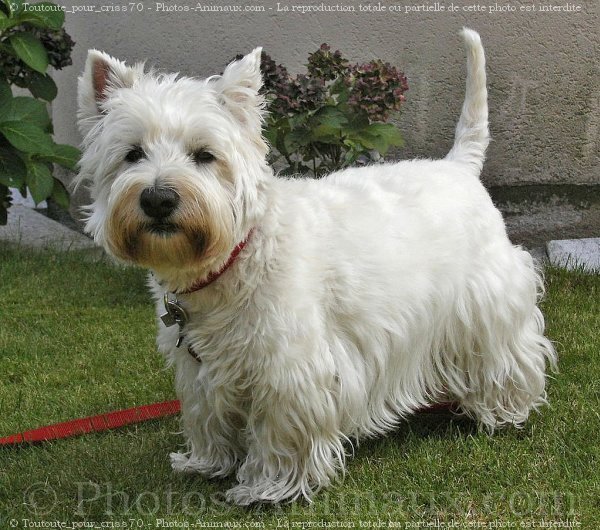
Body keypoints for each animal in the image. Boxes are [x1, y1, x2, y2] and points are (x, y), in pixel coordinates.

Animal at [76, 28, 556, 504]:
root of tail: (461, 166)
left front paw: (267, 486)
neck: (232, 260)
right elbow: (205, 412)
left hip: (488, 303)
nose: (158, 199)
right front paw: (206, 462)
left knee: (509, 353)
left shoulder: (289, 365)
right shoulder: (199, 363)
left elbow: (280, 429)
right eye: (132, 154)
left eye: (205, 155)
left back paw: (503, 410)